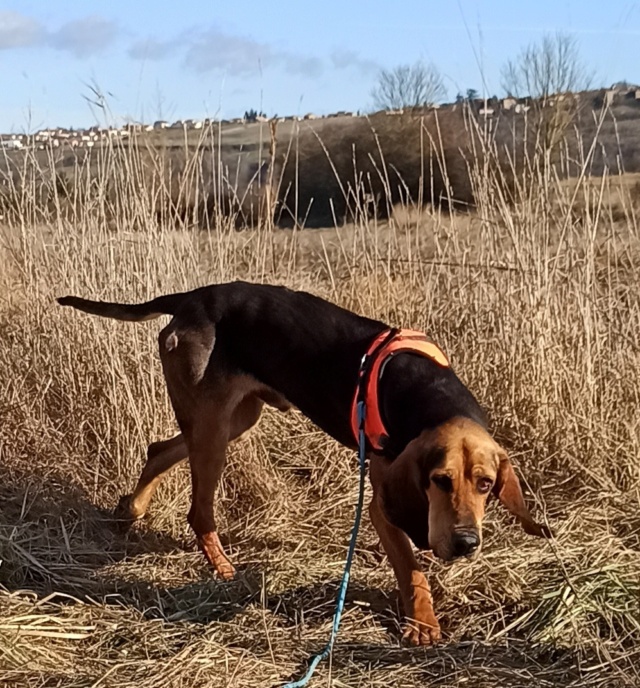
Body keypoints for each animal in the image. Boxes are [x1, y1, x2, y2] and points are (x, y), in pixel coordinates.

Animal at [58, 280, 552, 644]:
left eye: (486, 484)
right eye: (439, 480)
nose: (467, 543)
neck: (432, 396)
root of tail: (192, 297)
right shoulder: (382, 505)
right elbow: (413, 571)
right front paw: (423, 624)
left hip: (234, 419)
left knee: (159, 449)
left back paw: (131, 510)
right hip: (215, 429)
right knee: (198, 512)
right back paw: (223, 568)